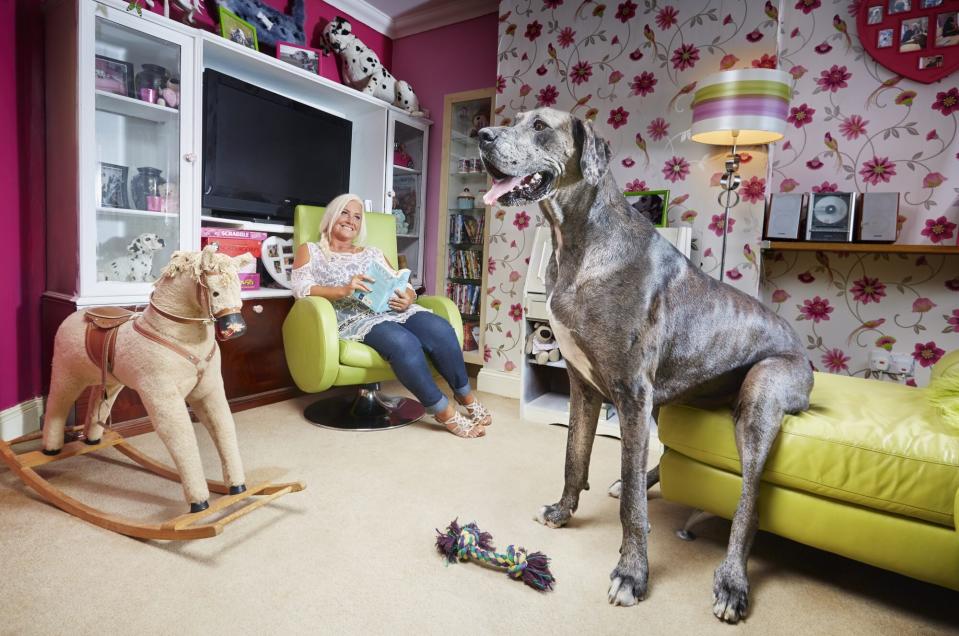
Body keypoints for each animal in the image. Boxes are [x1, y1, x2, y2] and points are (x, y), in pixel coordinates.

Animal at [476, 108, 812, 620]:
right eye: (514, 120)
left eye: (540, 126)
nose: (482, 136)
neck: (576, 240)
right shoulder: (584, 385)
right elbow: (574, 456)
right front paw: (562, 511)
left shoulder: (632, 393)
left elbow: (633, 506)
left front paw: (632, 573)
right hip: (672, 403)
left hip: (761, 393)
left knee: (749, 502)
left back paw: (732, 583)